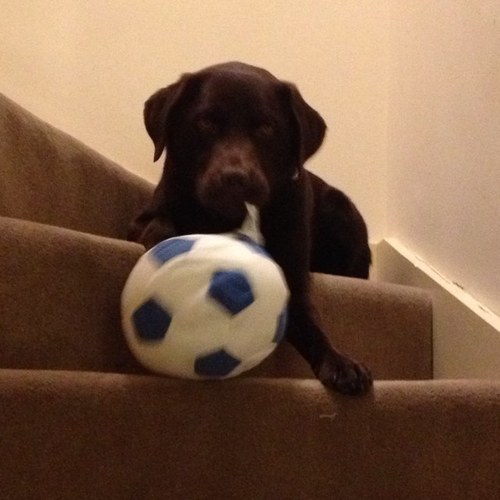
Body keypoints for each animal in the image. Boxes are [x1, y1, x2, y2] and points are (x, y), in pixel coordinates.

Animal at [128, 61, 372, 394]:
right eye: (206, 122)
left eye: (266, 128)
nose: (235, 178)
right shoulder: (141, 219)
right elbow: (160, 226)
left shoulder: (294, 275)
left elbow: (312, 323)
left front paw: (340, 362)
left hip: (342, 209)